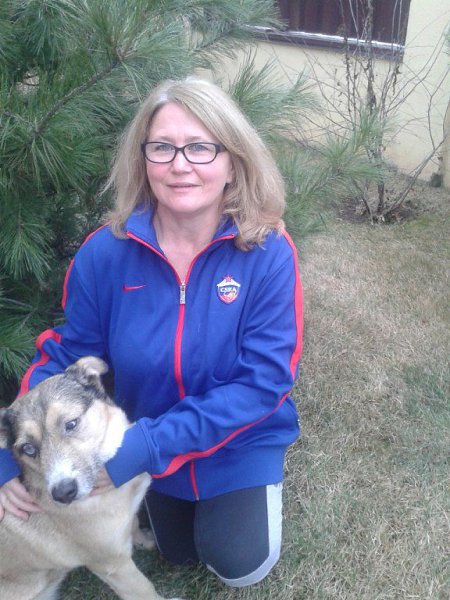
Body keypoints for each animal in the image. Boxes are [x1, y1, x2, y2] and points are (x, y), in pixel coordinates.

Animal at [0, 356, 184, 600]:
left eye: (71, 423)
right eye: (28, 448)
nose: (63, 493)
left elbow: (134, 523)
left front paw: (143, 540)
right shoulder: (114, 566)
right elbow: (145, 590)